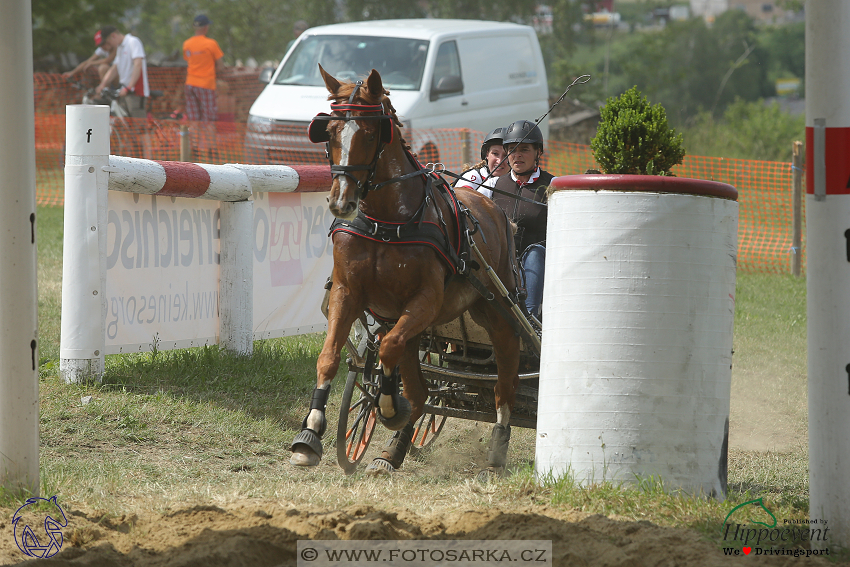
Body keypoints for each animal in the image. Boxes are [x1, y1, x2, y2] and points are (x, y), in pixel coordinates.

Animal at [288, 65, 520, 474]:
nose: (341, 201)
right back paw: (392, 450)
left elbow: (388, 348)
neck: (388, 219)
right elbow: (331, 357)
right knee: (421, 387)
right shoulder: (349, 293)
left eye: (370, 133)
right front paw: (310, 434)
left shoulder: (425, 301)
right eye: (329, 132)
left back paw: (497, 446)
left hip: (496, 310)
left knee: (505, 370)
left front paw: (388, 407)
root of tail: (493, 207)